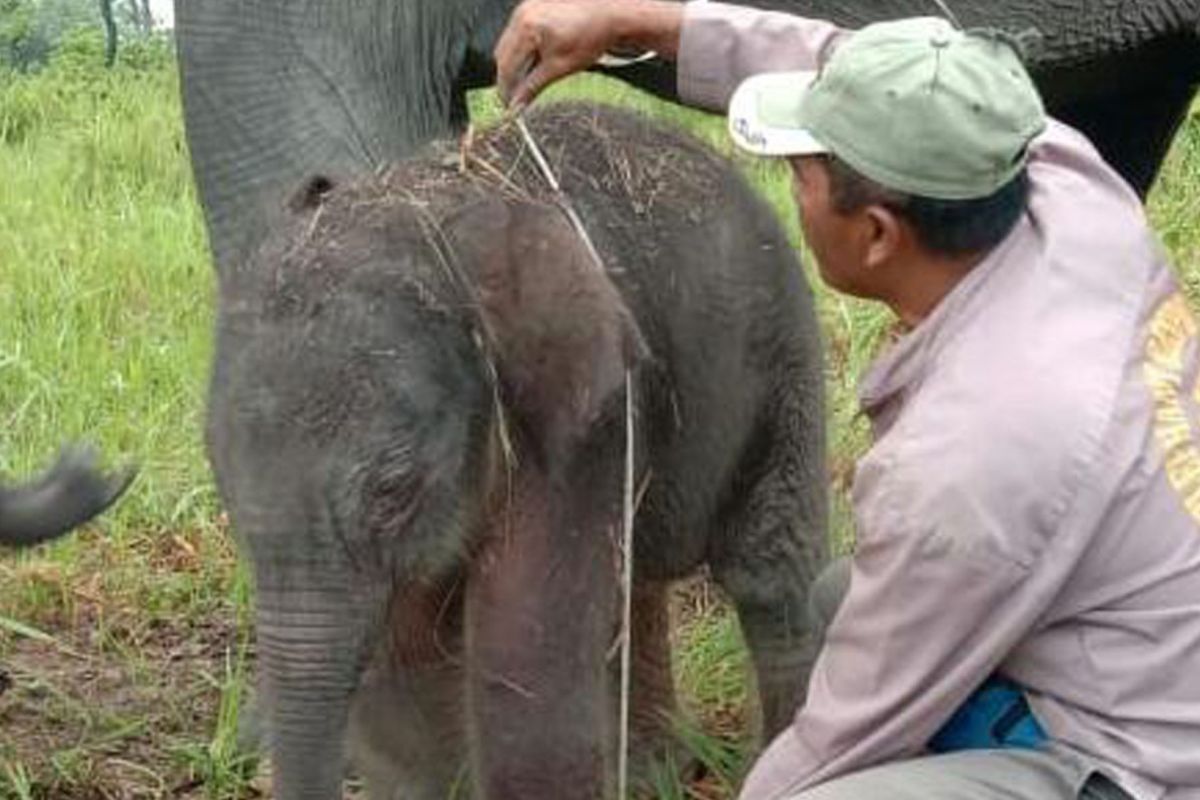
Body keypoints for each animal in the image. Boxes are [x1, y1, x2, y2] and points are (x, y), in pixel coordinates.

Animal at [206, 104, 830, 800]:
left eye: (394, 491)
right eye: (224, 486)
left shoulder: (581, 424)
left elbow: (522, 662)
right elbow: (412, 666)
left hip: (782, 354)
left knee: (767, 574)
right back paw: (654, 775)